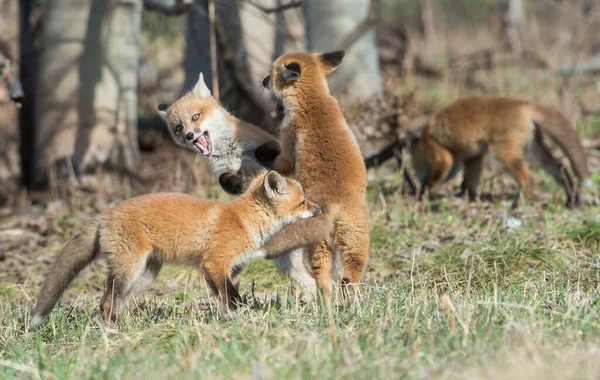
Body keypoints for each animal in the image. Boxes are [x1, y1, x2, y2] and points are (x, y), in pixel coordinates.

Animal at [28, 171, 322, 328]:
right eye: (303, 201)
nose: (319, 208)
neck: (243, 220)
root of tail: (106, 213)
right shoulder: (214, 263)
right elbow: (233, 297)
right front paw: (238, 318)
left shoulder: (221, 269)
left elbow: (225, 298)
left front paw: (226, 319)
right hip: (129, 269)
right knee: (107, 301)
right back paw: (115, 330)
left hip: (146, 274)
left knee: (116, 301)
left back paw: (128, 325)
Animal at [258, 50, 370, 308]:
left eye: (271, 72)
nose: (263, 81)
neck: (314, 100)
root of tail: (335, 204)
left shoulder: (288, 143)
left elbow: (280, 162)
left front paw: (263, 156)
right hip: (354, 244)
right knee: (350, 280)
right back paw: (353, 309)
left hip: (319, 248)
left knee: (324, 282)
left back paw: (324, 308)